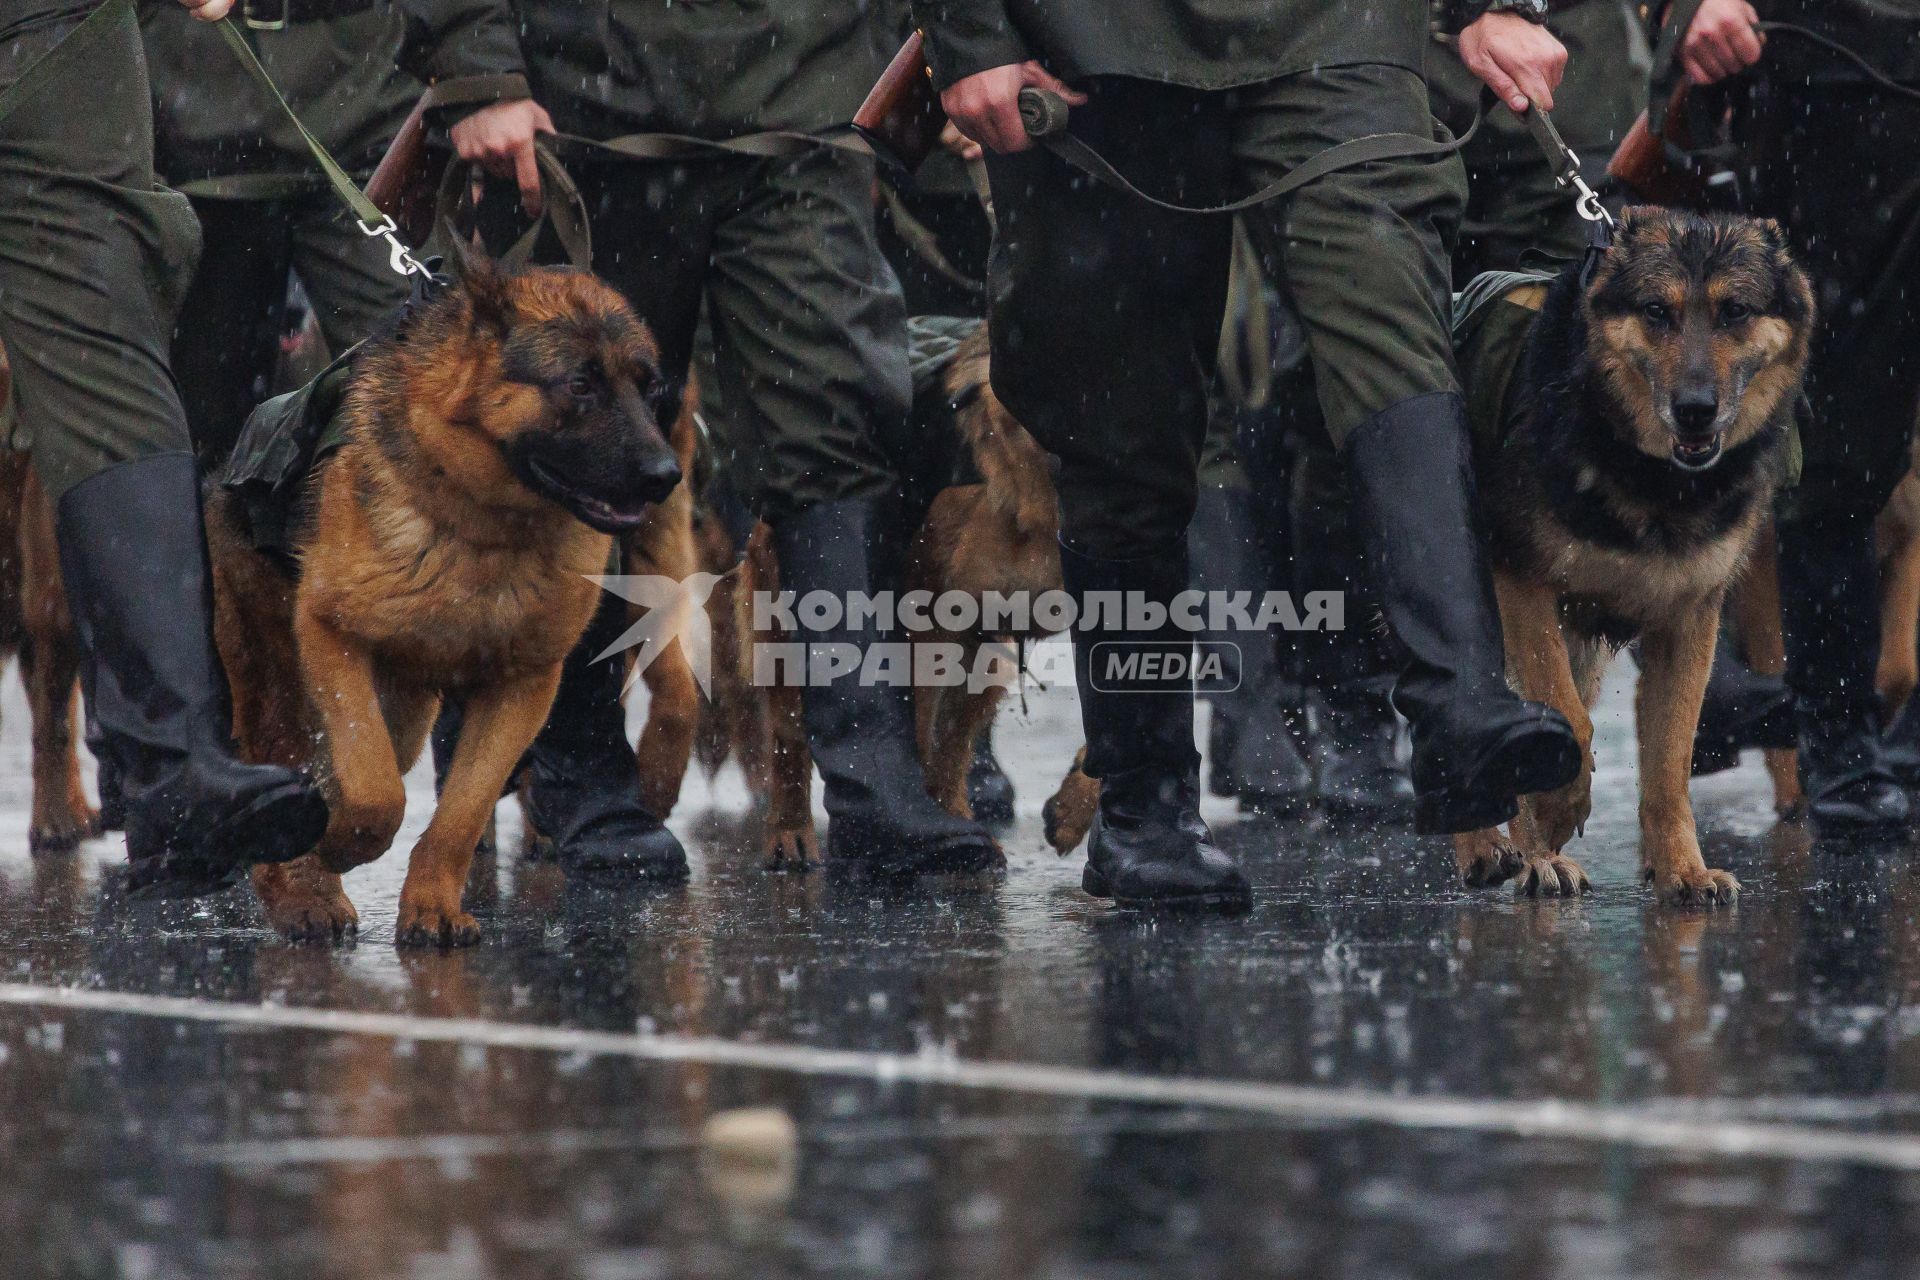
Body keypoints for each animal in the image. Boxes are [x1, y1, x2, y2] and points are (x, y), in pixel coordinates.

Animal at [202, 245, 679, 948]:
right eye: (580, 385)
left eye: (650, 389)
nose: (666, 476)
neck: (486, 531)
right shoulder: (329, 635)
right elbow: (373, 792)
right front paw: (341, 845)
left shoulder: (522, 687)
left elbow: (461, 813)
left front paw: (430, 904)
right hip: (283, 682)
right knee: (294, 771)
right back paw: (301, 896)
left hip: (401, 714)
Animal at [1451, 210, 1812, 905]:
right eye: (1655, 312)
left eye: (1735, 311)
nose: (1695, 411)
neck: (1654, 480)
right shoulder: (1520, 583)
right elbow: (1564, 721)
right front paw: (1558, 810)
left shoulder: (1689, 620)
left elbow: (1671, 756)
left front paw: (1681, 869)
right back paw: (1498, 848)